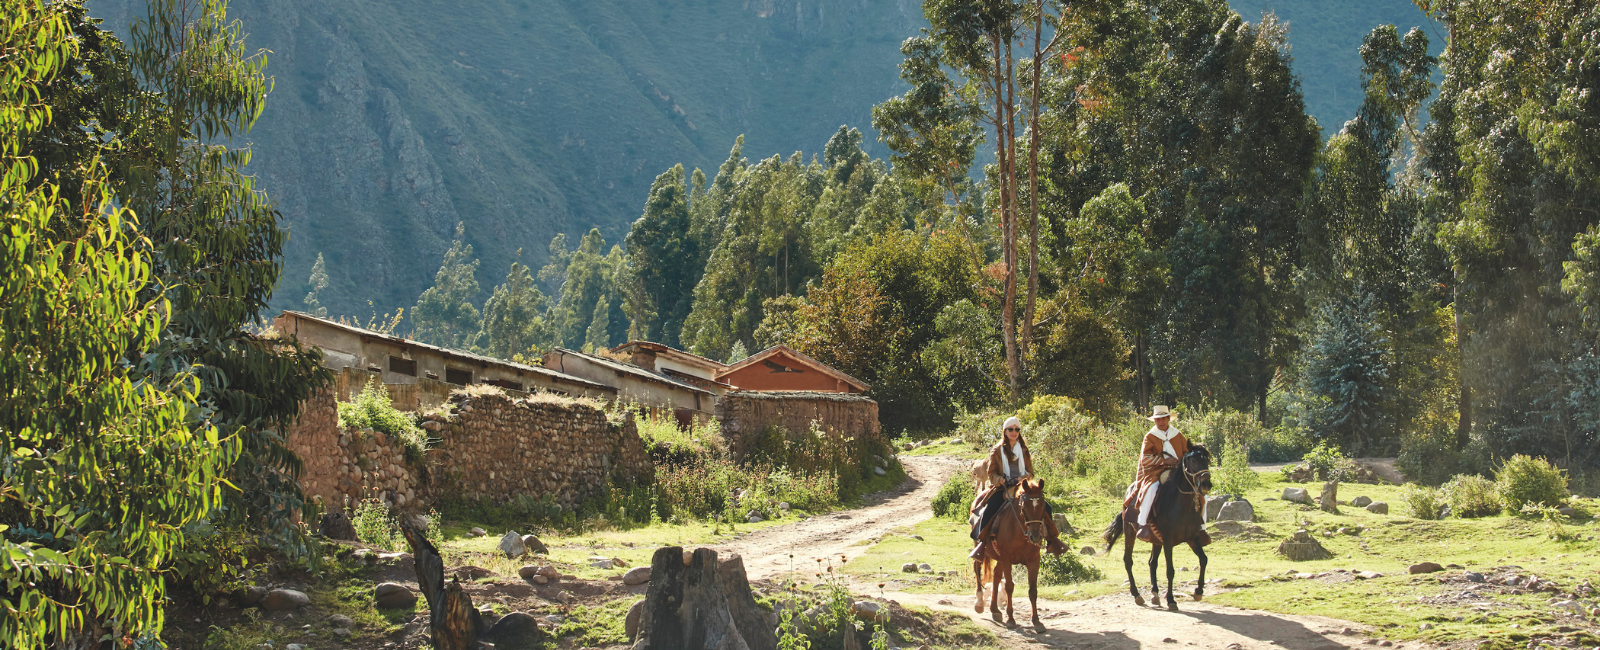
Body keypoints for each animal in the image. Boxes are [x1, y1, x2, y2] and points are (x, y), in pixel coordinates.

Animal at [972, 477, 1049, 630]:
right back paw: (979, 603)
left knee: (996, 575)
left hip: (999, 557)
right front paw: (1011, 620)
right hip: (980, 548)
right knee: (977, 567)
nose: (1035, 537)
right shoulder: (1007, 558)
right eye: (1024, 507)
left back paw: (995, 610)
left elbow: (1033, 590)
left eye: (1043, 507)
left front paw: (1037, 621)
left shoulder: (1034, 560)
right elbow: (1009, 586)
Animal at [1100, 445, 1209, 611]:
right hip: (1129, 531)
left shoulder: (1192, 538)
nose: (1206, 484)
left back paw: (1155, 594)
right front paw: (1171, 600)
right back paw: (1137, 595)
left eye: (1207, 460)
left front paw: (1198, 591)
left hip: (1155, 539)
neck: (1182, 506)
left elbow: (1203, 559)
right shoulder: (1168, 541)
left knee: (1152, 562)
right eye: (1193, 460)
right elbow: (1170, 571)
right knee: (1128, 560)